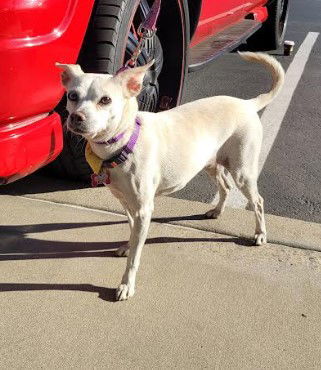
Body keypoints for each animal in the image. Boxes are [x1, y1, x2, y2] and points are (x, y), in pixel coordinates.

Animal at [57, 52, 282, 300]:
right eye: (72, 96)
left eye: (105, 100)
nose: (76, 117)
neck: (124, 142)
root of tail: (247, 103)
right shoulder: (127, 204)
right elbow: (131, 229)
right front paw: (128, 245)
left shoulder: (144, 209)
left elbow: (135, 257)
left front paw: (127, 284)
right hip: (211, 164)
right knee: (225, 187)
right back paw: (216, 211)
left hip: (242, 171)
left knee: (258, 201)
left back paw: (260, 234)